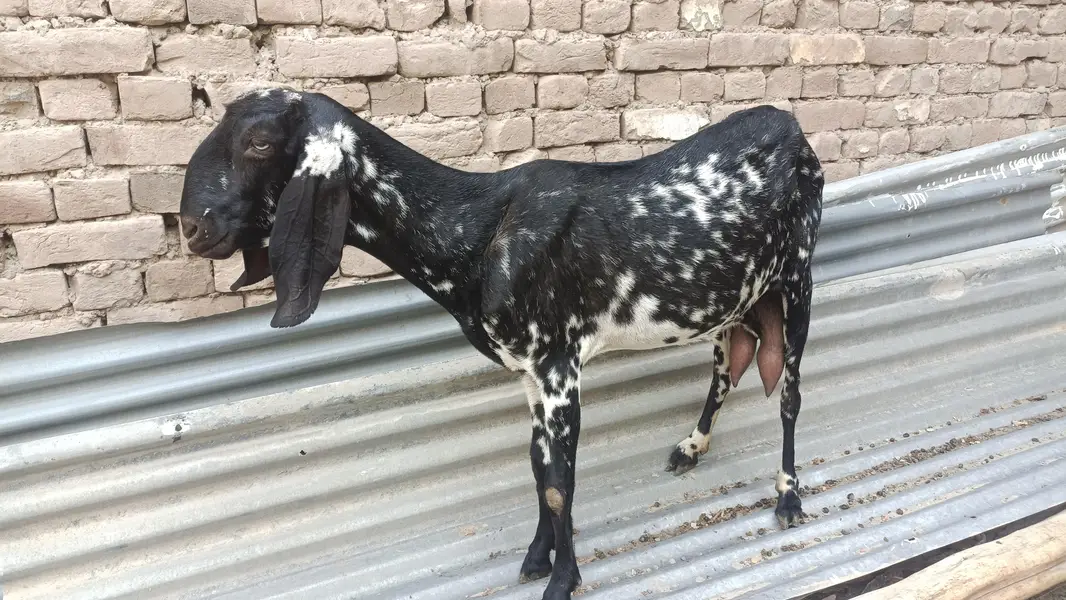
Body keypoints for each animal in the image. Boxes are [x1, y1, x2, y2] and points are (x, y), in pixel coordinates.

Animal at [179, 88, 824, 600]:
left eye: (259, 141)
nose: (191, 226)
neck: (479, 228)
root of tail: (789, 124)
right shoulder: (529, 371)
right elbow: (538, 469)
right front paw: (538, 557)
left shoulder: (559, 366)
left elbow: (560, 482)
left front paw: (563, 581)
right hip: (736, 300)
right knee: (727, 367)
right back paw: (691, 447)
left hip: (796, 278)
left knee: (792, 395)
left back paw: (788, 498)